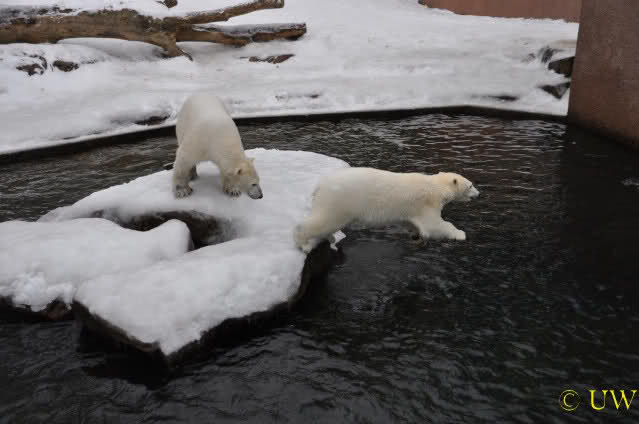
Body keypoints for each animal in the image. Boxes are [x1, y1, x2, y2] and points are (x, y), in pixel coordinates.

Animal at [294, 167, 479, 252]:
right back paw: (303, 243)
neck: (435, 187)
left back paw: (331, 238)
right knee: (323, 221)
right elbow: (434, 225)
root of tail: (319, 186)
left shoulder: (410, 210)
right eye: (470, 185)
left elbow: (411, 222)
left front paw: (415, 235)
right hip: (340, 201)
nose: (478, 193)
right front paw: (460, 234)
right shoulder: (425, 203)